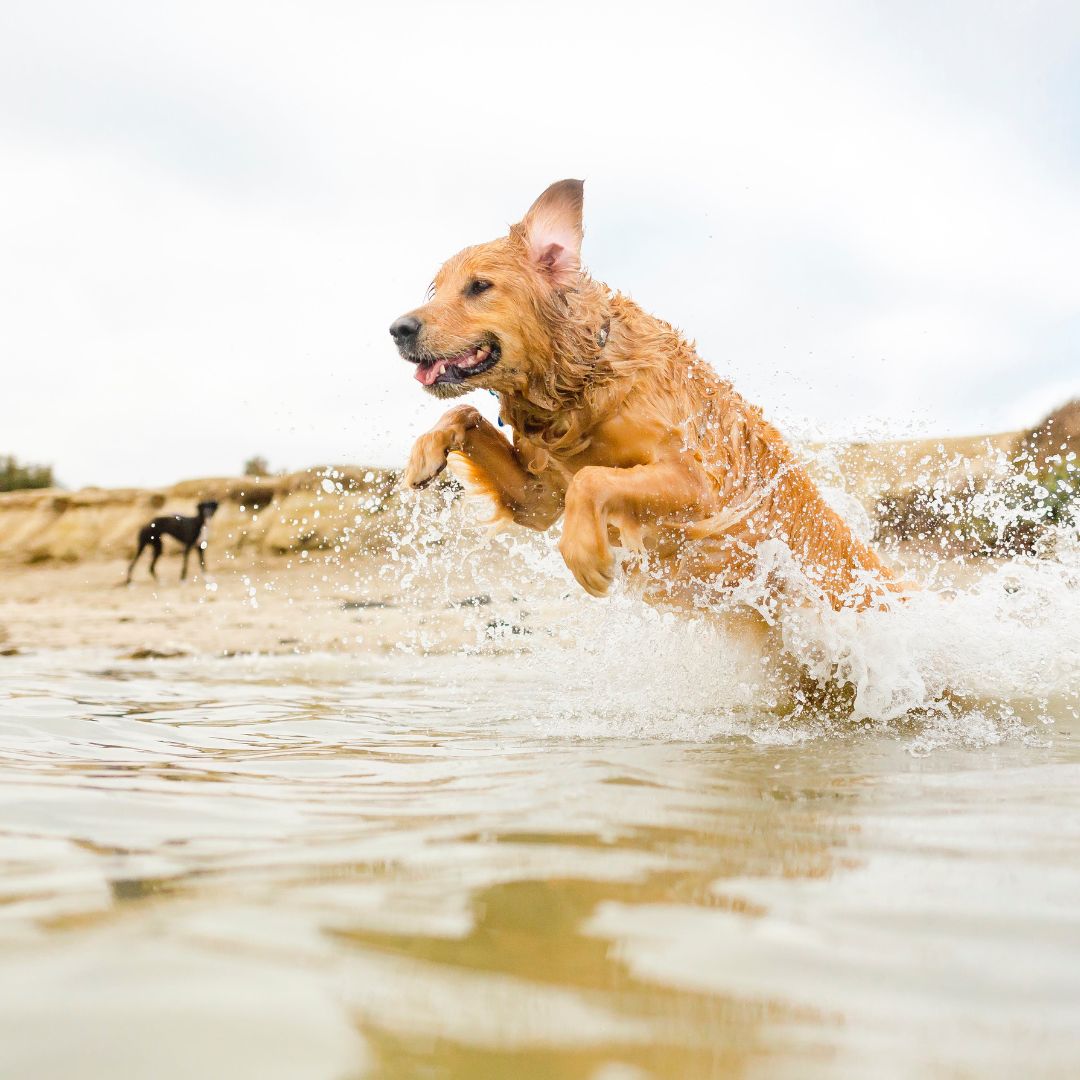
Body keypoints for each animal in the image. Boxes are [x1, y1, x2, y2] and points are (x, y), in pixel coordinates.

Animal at [393, 181, 898, 613]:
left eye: (479, 286)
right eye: (436, 288)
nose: (399, 329)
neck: (580, 384)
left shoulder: (699, 485)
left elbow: (591, 478)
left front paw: (585, 554)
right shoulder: (539, 499)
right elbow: (464, 411)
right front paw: (424, 454)